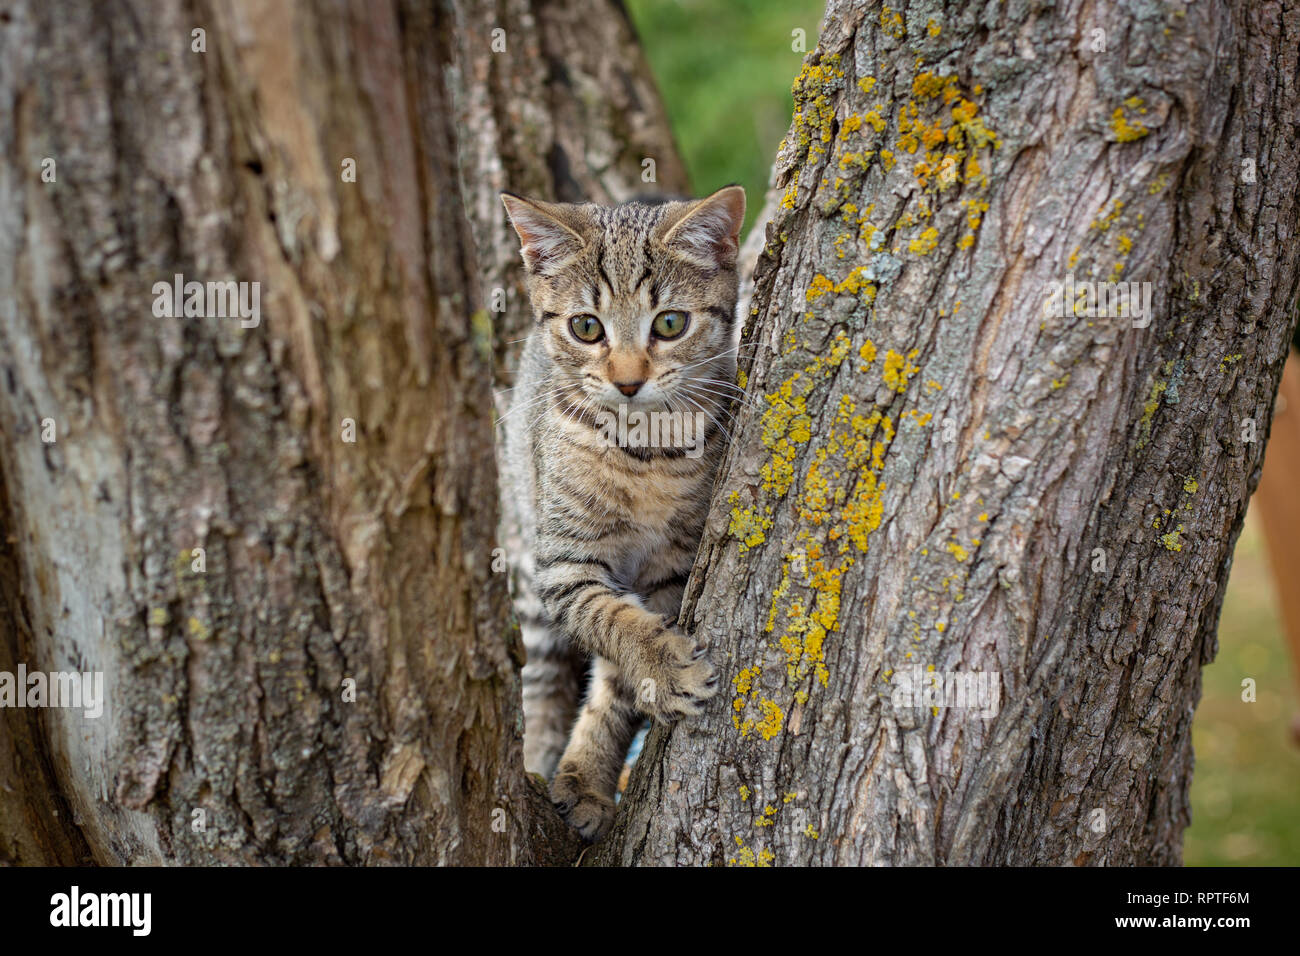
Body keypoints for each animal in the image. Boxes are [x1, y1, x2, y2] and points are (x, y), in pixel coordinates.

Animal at [499, 183, 748, 842]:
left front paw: (588, 776)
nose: (629, 382)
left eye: (670, 324)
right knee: (540, 679)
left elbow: (615, 686)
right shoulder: (564, 564)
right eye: (587, 327)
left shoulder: (671, 569)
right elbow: (610, 620)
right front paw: (661, 667)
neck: (643, 452)